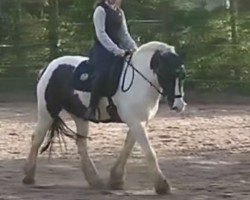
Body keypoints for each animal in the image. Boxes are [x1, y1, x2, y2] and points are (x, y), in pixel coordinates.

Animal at [23, 41, 186, 195]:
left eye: (182, 75)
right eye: (164, 72)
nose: (179, 105)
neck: (139, 82)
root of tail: (49, 66)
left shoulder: (139, 121)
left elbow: (127, 148)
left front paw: (116, 179)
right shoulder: (135, 122)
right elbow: (149, 152)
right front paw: (162, 186)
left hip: (79, 116)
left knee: (81, 143)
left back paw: (95, 180)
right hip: (47, 111)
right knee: (37, 138)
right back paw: (28, 176)